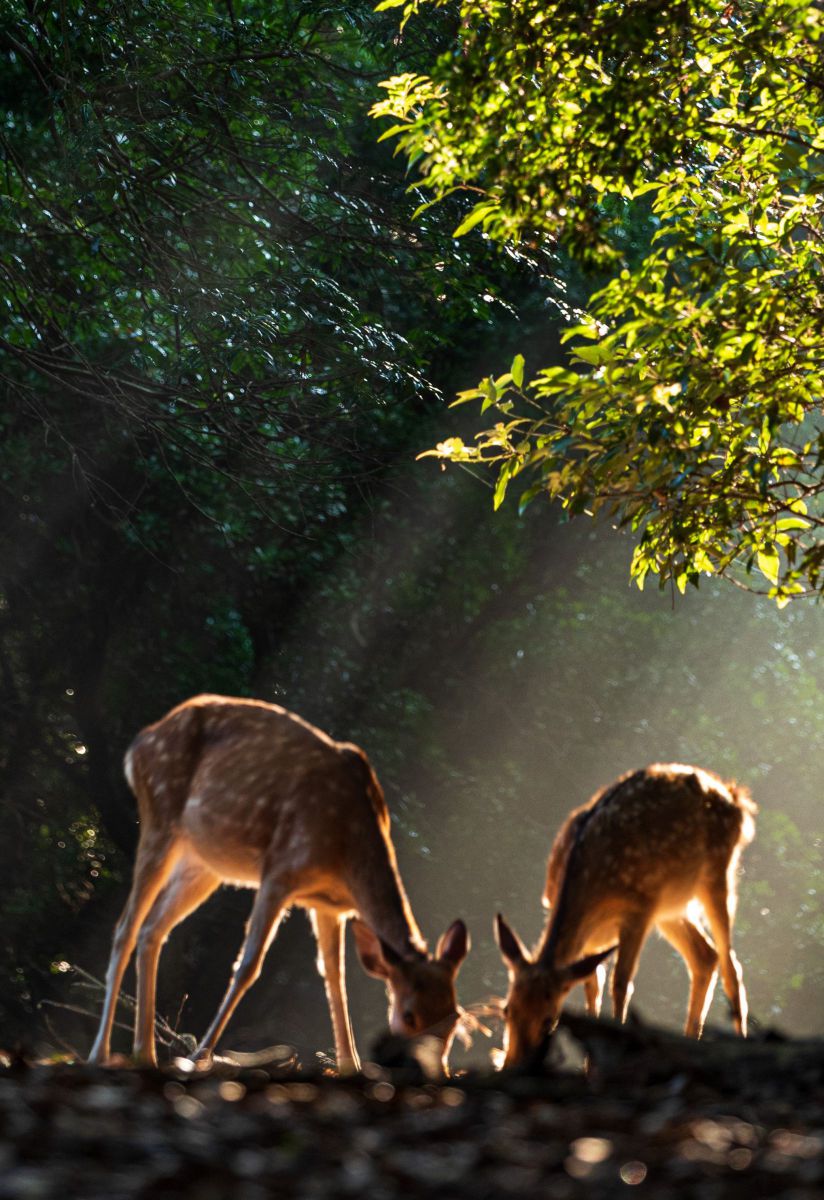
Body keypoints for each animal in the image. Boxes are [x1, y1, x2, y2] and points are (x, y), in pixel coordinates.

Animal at [88, 694, 469, 1074]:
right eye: (409, 1015)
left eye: (455, 1018)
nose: (433, 1072)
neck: (347, 849)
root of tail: (138, 745)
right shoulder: (280, 872)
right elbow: (248, 966)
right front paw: (199, 1056)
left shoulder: (329, 906)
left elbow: (335, 980)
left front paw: (351, 1066)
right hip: (160, 816)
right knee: (125, 928)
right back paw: (100, 1054)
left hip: (203, 864)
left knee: (152, 928)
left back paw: (145, 1054)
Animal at [494, 764, 756, 1069]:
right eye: (507, 1009)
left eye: (550, 1020)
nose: (511, 1066)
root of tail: (736, 796)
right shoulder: (592, 939)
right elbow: (592, 987)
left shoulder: (637, 912)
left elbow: (620, 984)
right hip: (669, 907)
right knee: (705, 956)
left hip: (716, 873)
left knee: (731, 966)